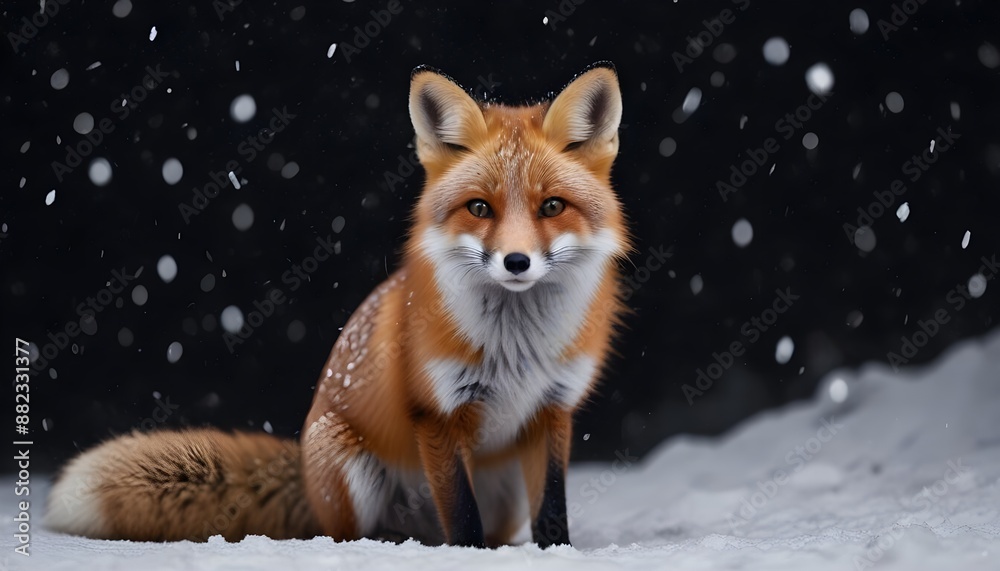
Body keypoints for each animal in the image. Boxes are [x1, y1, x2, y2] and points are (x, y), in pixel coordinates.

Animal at [46, 62, 630, 548]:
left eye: (551, 206)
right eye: (480, 208)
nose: (515, 262)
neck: (517, 347)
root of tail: (304, 477)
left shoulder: (552, 410)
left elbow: (551, 512)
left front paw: (558, 556)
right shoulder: (437, 415)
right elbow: (463, 520)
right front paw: (470, 558)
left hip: (501, 492)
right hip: (349, 464)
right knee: (355, 537)